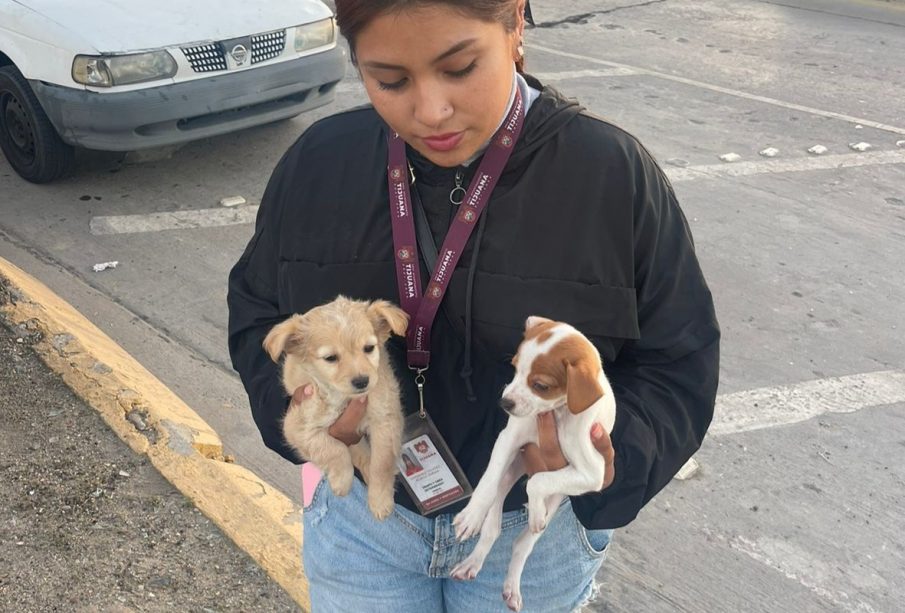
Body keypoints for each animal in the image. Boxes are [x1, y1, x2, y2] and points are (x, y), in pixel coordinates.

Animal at [264, 294, 408, 520]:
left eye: (369, 348)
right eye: (330, 358)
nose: (362, 381)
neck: (344, 398)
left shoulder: (385, 417)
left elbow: (381, 464)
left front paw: (380, 500)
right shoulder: (297, 426)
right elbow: (333, 449)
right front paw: (342, 481)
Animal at [452, 318, 616, 608]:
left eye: (541, 385)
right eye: (515, 368)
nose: (504, 402)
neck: (559, 413)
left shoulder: (592, 473)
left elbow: (538, 481)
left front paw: (536, 509)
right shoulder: (508, 439)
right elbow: (487, 482)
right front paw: (471, 515)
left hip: (556, 499)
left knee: (521, 543)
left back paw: (513, 583)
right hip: (508, 475)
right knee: (492, 527)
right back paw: (472, 562)